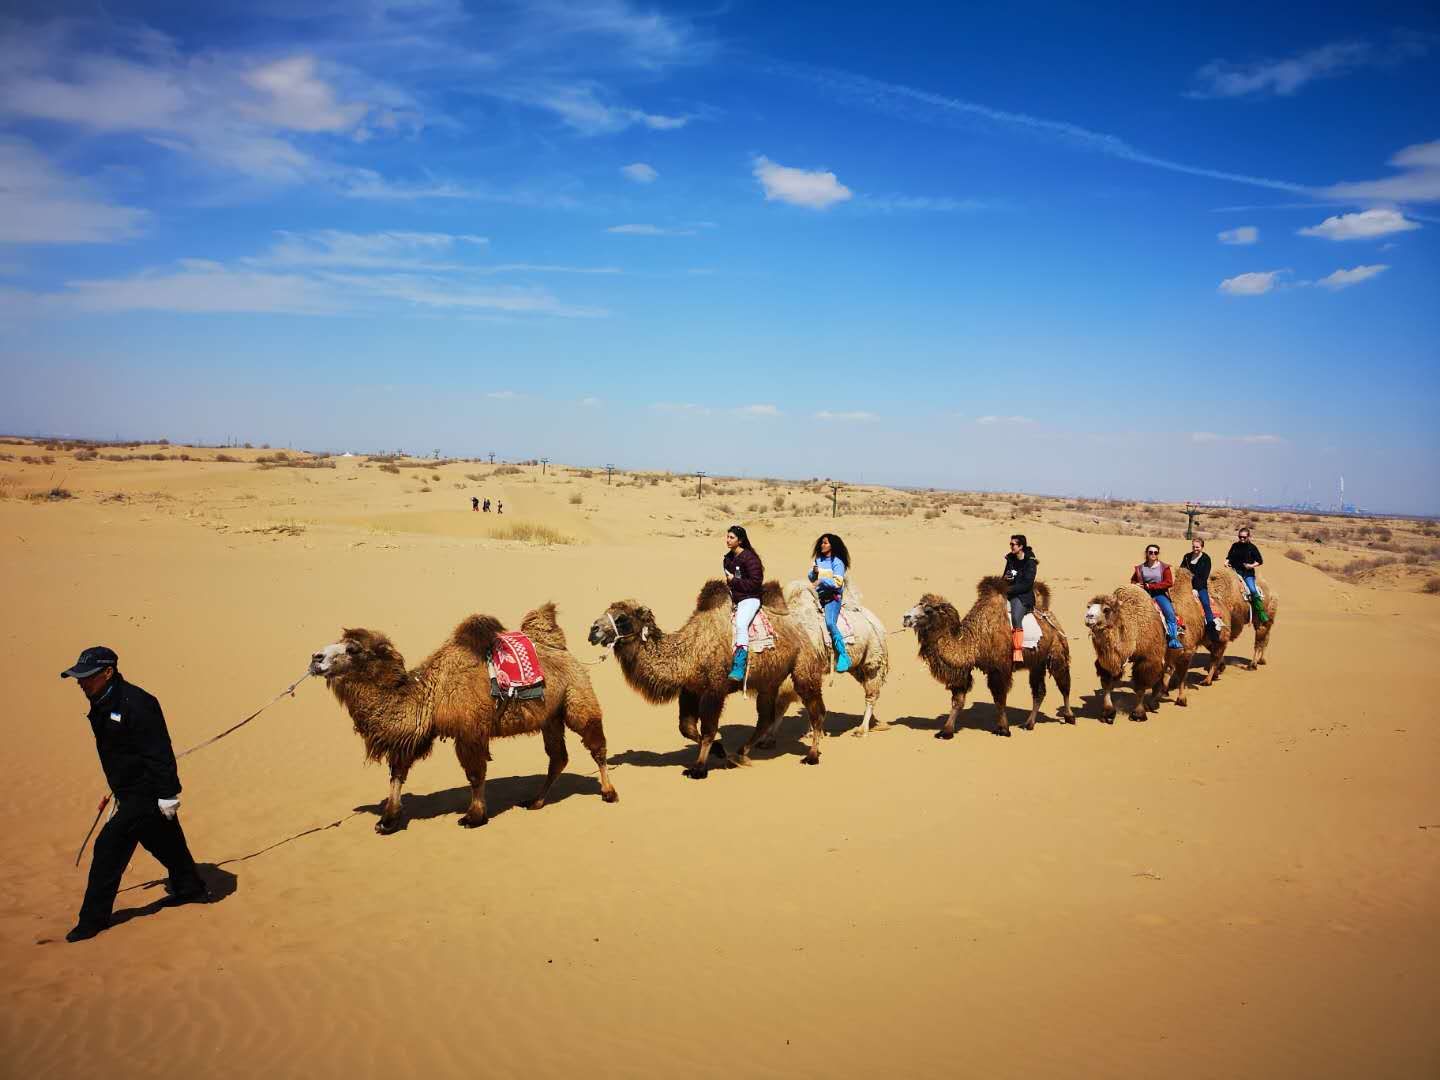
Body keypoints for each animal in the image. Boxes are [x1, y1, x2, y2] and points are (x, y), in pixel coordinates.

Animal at [309, 604, 613, 835]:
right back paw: (535, 801)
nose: (315, 657)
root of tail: (560, 648)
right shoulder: (417, 736)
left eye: (353, 649)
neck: (431, 694)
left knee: (595, 744)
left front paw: (473, 817)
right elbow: (398, 771)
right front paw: (388, 821)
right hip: (550, 717)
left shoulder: (470, 731)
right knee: (558, 756)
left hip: (577, 697)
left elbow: (475, 774)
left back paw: (608, 792)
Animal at [587, 584, 835, 777]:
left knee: (816, 710)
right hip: (769, 680)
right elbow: (686, 727)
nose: (593, 630)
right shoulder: (690, 690)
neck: (689, 652)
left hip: (803, 666)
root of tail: (808, 628)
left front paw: (698, 768)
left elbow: (708, 729)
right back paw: (740, 754)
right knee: (765, 717)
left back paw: (812, 755)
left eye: (621, 618)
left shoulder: (714, 689)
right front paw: (719, 750)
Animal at [898, 578, 1082, 743]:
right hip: (1037, 662)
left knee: (1064, 684)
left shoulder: (999, 669)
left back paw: (1069, 716)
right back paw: (1028, 724)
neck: (976, 638)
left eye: (928, 610)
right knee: (1039, 691)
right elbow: (958, 700)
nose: (906, 617)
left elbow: (1000, 699)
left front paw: (1003, 729)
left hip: (1056, 650)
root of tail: (1047, 614)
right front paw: (946, 731)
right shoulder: (964, 671)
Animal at [1082, 587, 1169, 722]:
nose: (1088, 616)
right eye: (1089, 606)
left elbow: (1141, 686)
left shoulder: (1147, 659)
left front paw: (1138, 714)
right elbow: (1107, 683)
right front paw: (1108, 713)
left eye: (1106, 609)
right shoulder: (1108, 661)